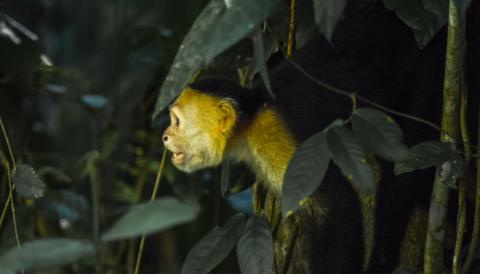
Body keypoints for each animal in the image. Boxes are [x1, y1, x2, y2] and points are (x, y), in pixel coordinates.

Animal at [162, 2, 480, 274]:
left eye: (176, 121)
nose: (165, 136)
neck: (250, 119)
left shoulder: (278, 137)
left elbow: (336, 211)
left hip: (434, 67)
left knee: (406, 164)